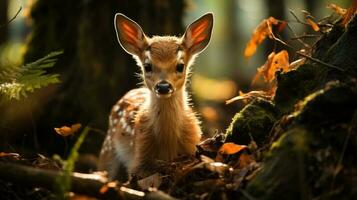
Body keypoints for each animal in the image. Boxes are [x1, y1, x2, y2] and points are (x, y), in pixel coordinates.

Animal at [98, 13, 211, 180]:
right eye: (147, 66)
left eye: (180, 66)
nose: (163, 86)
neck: (167, 144)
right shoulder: (139, 156)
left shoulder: (191, 147)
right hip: (108, 147)